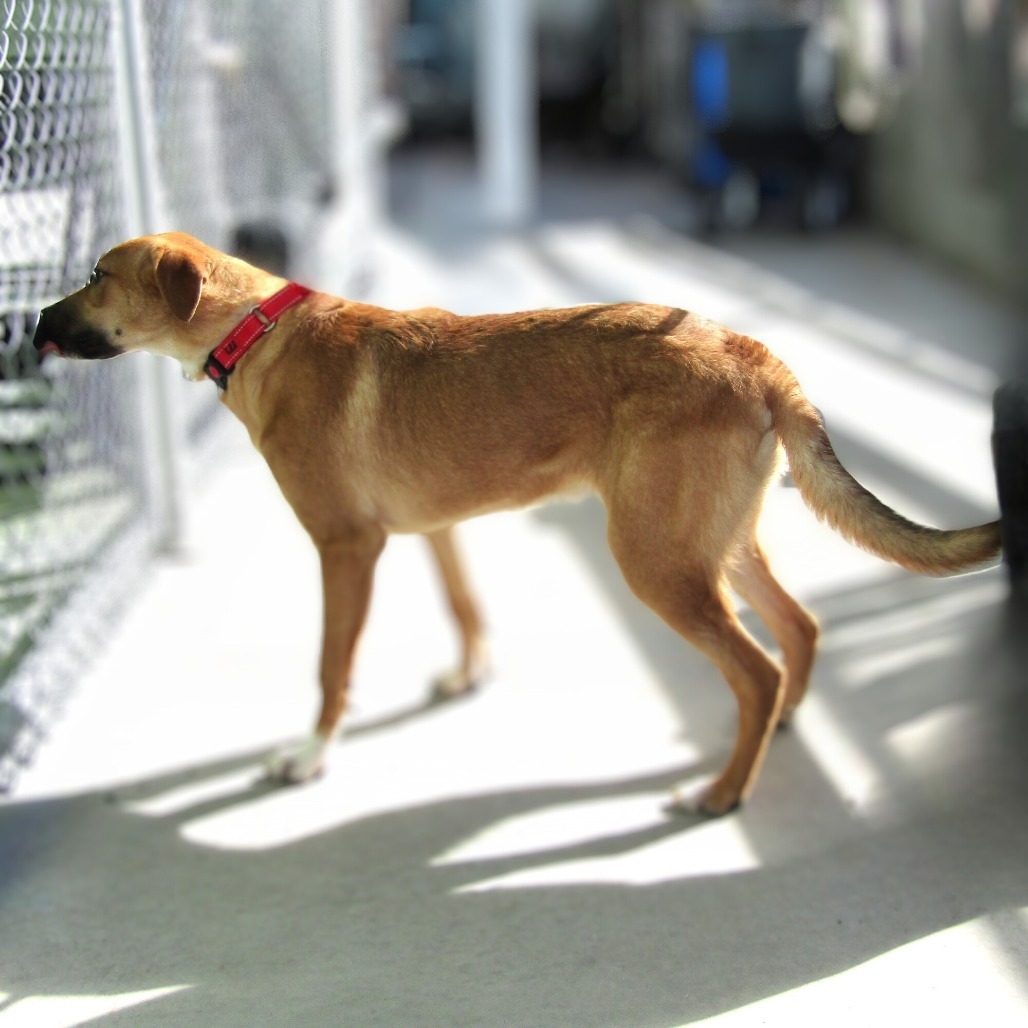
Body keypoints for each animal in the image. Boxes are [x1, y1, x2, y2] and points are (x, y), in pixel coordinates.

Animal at [34, 231, 1003, 810]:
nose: (32, 322)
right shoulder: (434, 531)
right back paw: (778, 733)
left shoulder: (347, 549)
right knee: (798, 630)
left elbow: (331, 670)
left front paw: (307, 758)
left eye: (94, 277)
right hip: (712, 545)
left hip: (657, 561)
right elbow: (465, 609)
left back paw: (723, 792)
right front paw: (468, 675)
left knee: (757, 668)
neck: (259, 329)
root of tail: (752, 351)